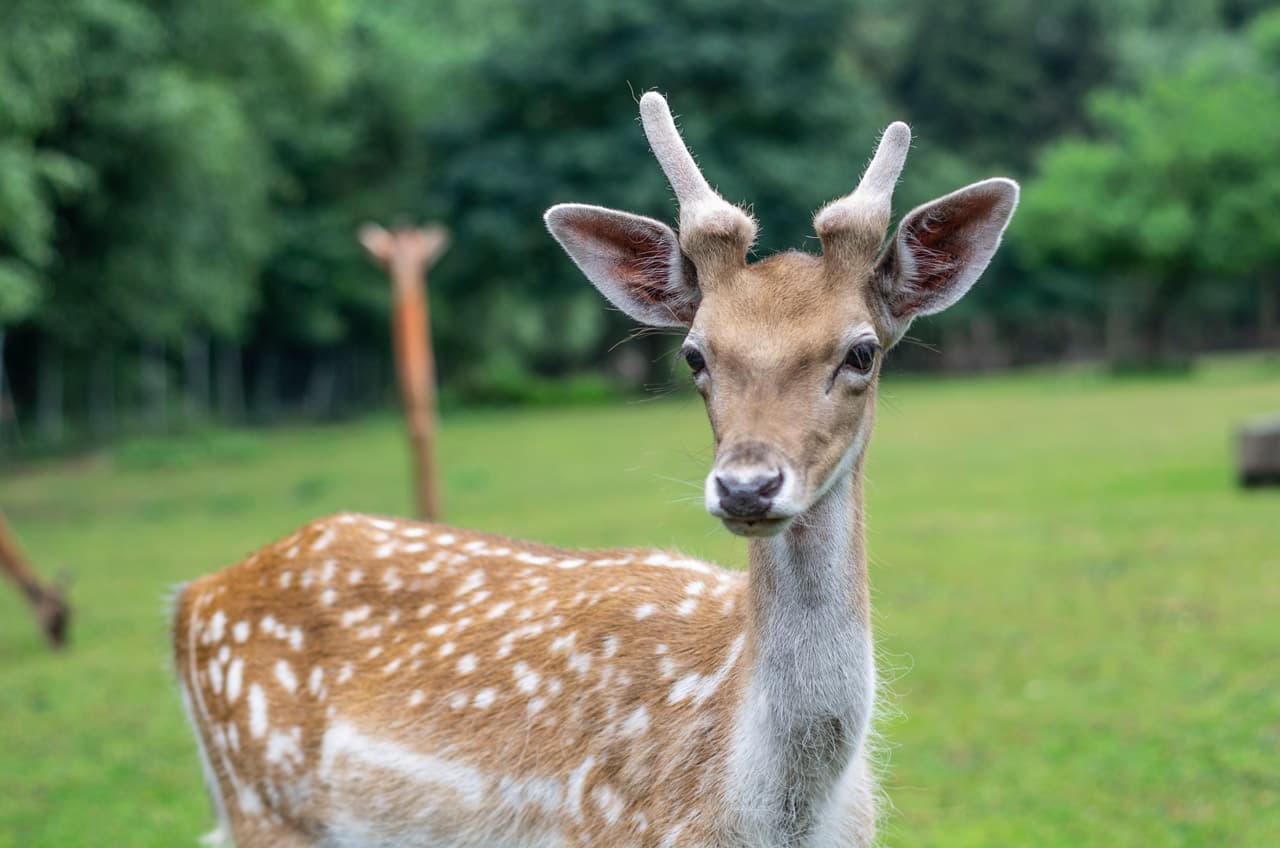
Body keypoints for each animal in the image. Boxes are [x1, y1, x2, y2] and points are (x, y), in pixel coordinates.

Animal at [171, 92, 1017, 848]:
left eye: (862, 352)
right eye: (694, 354)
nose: (747, 486)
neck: (767, 817)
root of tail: (190, 599)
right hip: (264, 805)